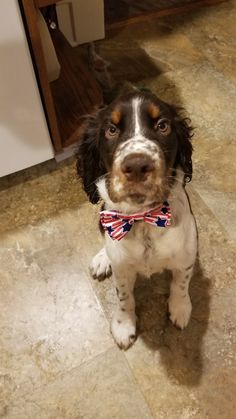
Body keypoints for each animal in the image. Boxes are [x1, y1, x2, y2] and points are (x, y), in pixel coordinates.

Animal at [77, 88, 197, 352]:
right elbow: (124, 296)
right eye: (111, 129)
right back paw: (102, 259)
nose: (137, 165)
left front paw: (180, 308)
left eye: (163, 126)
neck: (143, 220)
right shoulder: (122, 267)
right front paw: (124, 325)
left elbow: (181, 283)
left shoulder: (186, 256)